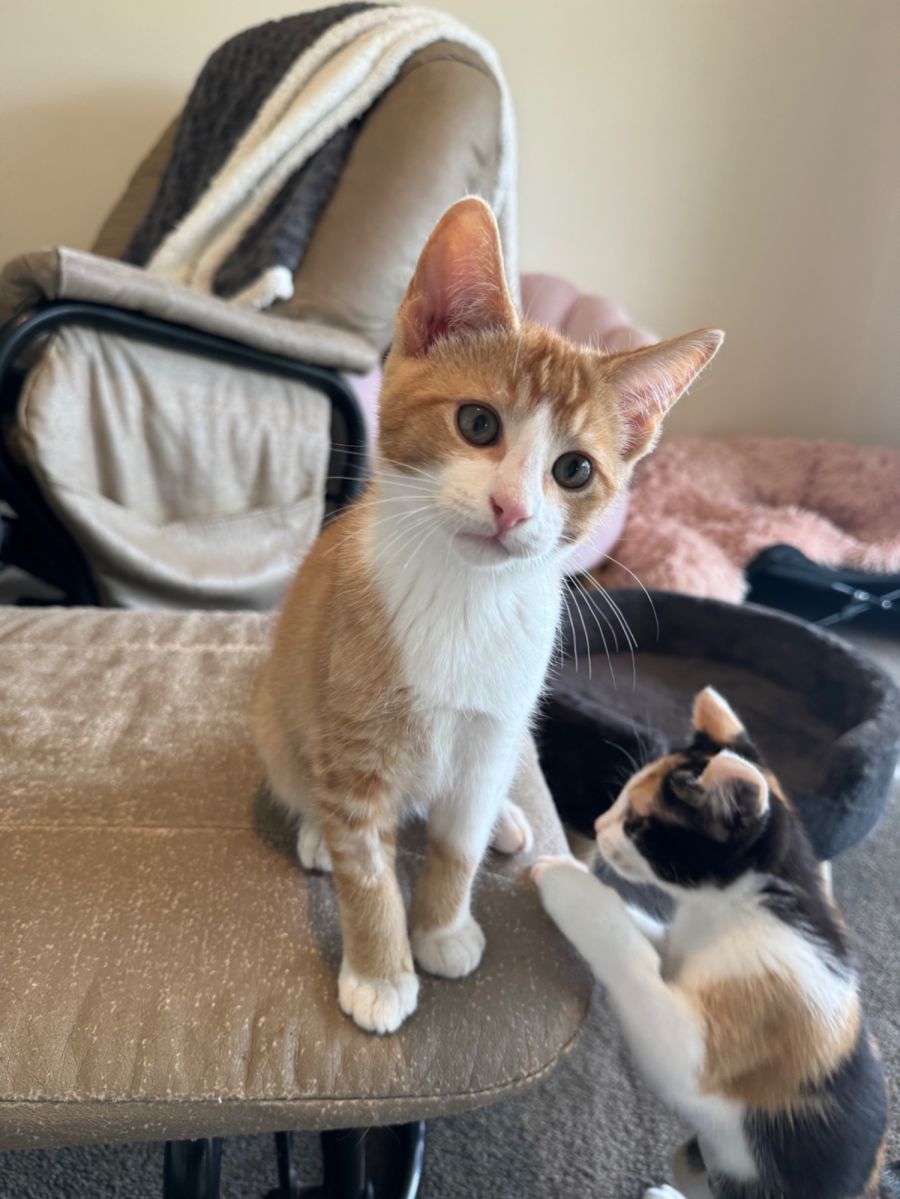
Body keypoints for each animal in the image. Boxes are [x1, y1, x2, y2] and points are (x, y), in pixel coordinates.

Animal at [251, 195, 723, 1035]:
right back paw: (311, 829)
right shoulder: (354, 743)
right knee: (301, 774)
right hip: (279, 714)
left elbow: (458, 844)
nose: (513, 508)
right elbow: (366, 870)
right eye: (477, 423)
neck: (465, 598)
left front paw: (441, 927)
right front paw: (379, 971)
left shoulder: (494, 723)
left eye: (575, 470)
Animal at [534, 685, 897, 1199]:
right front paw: (594, 884)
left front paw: (569, 884)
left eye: (637, 825)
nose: (601, 825)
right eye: (619, 799)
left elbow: (634, 965)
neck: (750, 900)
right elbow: (648, 936)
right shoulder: (677, 944)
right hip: (693, 1157)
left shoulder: (714, 1040)